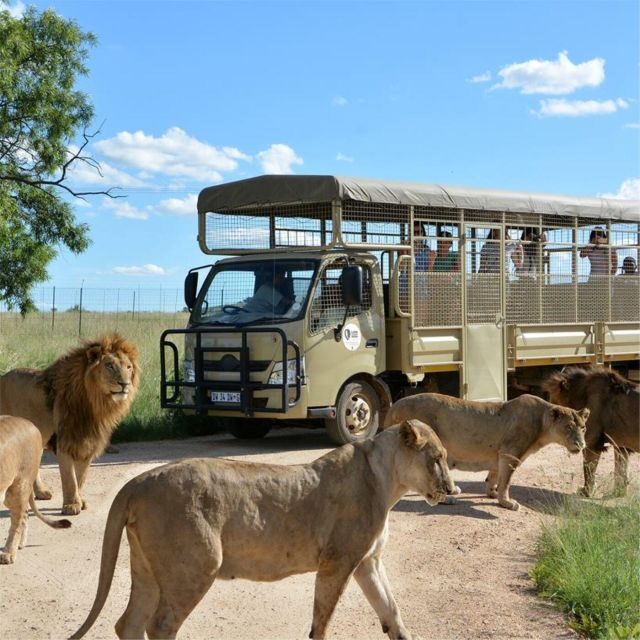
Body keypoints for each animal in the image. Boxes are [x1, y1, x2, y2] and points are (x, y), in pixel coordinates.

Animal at [0, 333, 140, 516]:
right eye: (109, 365)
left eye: (129, 367)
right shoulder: (64, 441)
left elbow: (80, 477)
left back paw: (41, 493)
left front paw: (80, 501)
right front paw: (71, 505)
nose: (124, 384)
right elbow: (69, 478)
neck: (96, 404)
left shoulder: (87, 442)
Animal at [1, 416, 71, 564]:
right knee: (25, 514)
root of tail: (30, 424)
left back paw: (9, 553)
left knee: (18, 520)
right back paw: (20, 545)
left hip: (19, 486)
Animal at [70, 420, 454, 640]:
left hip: (147, 569)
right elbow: (322, 621)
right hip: (196, 566)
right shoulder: (338, 562)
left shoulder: (367, 562)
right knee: (159, 626)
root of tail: (136, 482)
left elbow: (391, 611)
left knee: (129, 624)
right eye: (437, 458)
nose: (452, 489)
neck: (387, 480)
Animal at [384, 393, 589, 511]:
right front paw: (506, 502)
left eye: (583, 428)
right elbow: (506, 481)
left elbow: (494, 476)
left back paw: (454, 490)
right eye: (568, 427)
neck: (542, 423)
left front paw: (492, 493)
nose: (581, 445)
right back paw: (449, 498)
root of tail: (394, 406)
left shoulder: (499, 454)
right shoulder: (510, 454)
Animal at [543, 366, 639, 497]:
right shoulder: (621, 446)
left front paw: (586, 492)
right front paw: (618, 493)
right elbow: (621, 472)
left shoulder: (591, 442)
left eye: (553, 402)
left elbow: (588, 469)